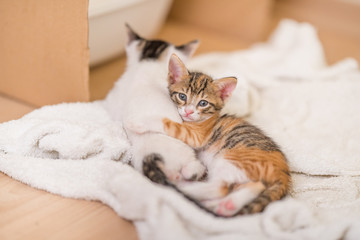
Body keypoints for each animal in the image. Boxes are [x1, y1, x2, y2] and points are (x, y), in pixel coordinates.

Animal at [145, 54, 292, 218]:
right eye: (182, 96)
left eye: (203, 103)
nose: (188, 111)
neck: (206, 119)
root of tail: (283, 173)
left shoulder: (197, 136)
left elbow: (172, 125)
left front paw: (141, 123)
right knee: (252, 186)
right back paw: (224, 205)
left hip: (230, 160)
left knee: (221, 187)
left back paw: (178, 184)